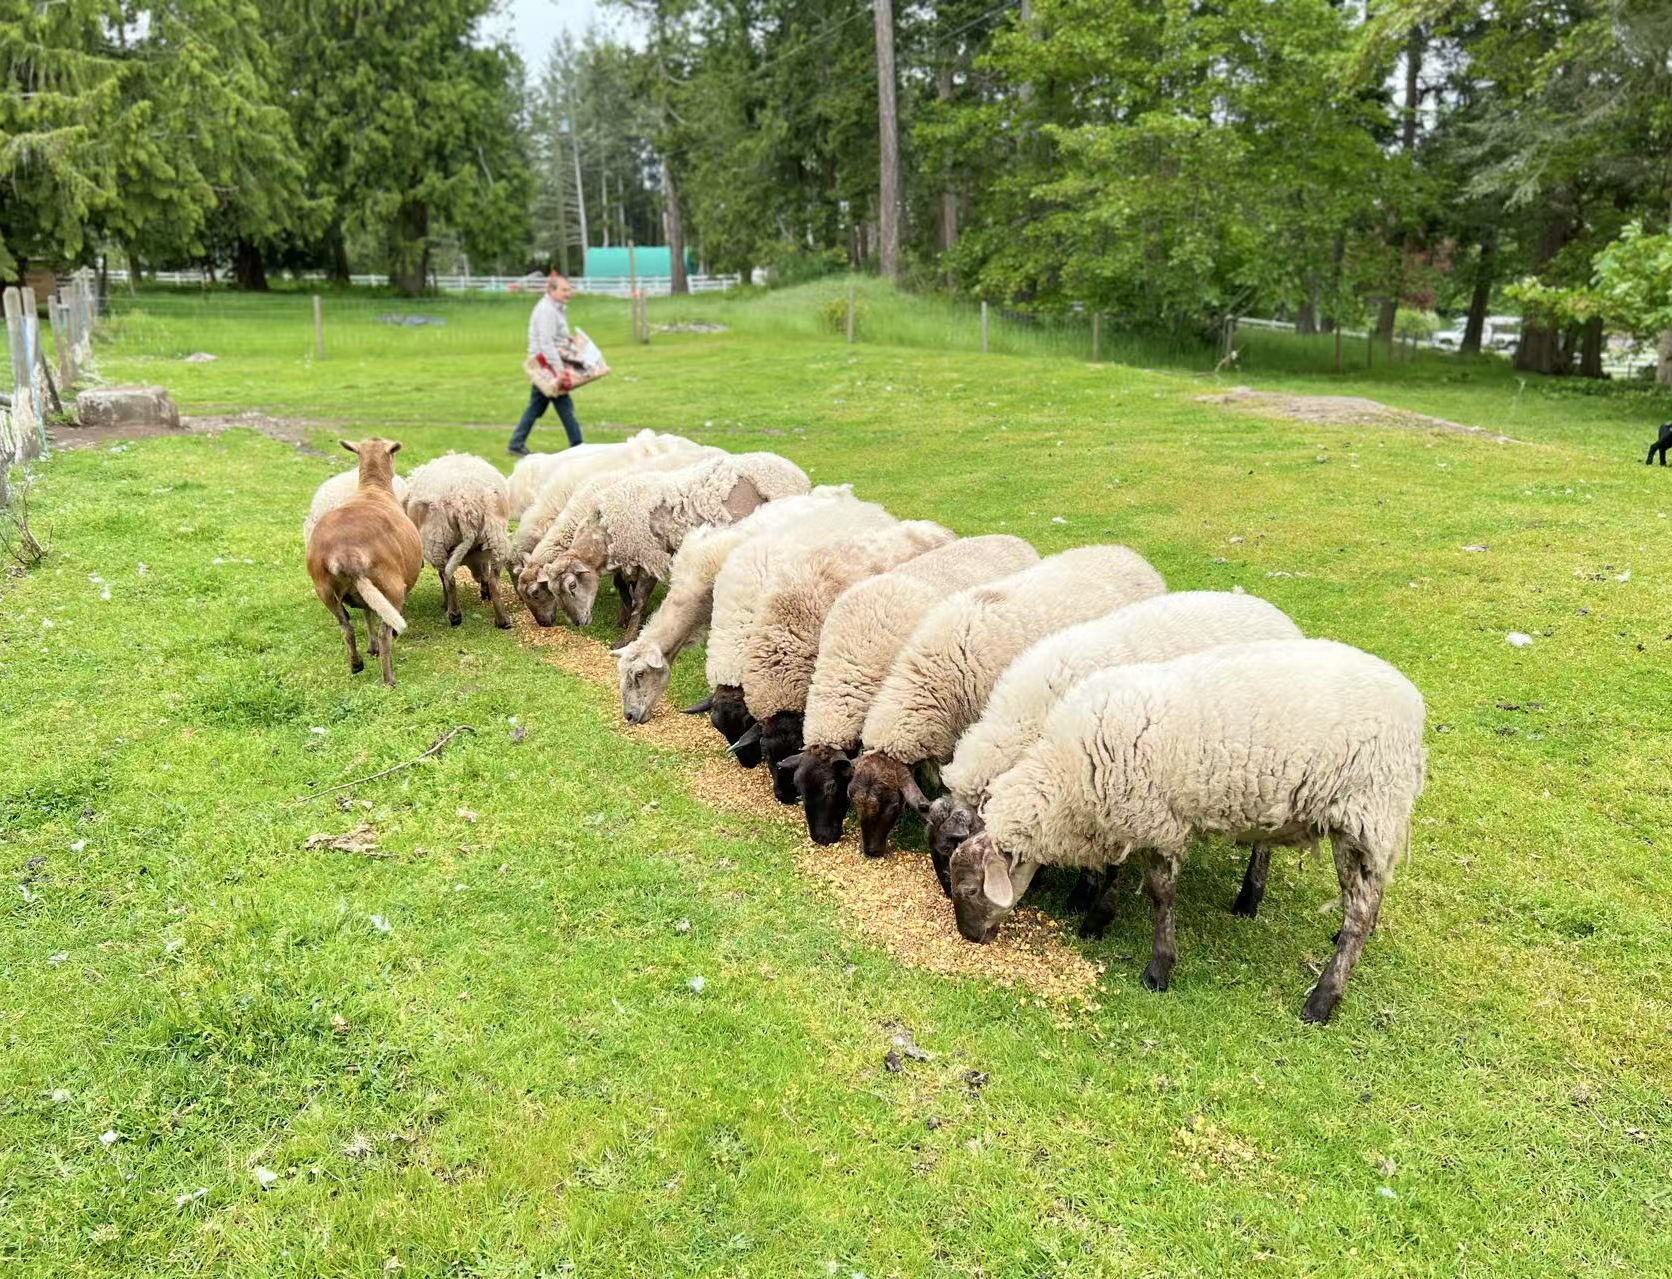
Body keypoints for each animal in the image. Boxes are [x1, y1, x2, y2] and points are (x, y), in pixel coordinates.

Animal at [305, 438, 424, 686]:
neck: (373, 488)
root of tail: (346, 553)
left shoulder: (364, 593)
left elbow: (368, 614)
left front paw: (371, 648)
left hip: (325, 590)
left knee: (346, 628)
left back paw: (356, 664)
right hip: (391, 586)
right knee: (385, 633)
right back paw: (388, 679)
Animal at [401, 453, 515, 629]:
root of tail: (466, 505)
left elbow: (443, 577)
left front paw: (445, 604)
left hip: (437, 541)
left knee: (449, 580)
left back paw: (454, 615)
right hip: (495, 535)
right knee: (494, 581)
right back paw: (502, 621)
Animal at [539, 451, 812, 641]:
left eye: (572, 585)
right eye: (551, 591)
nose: (577, 622)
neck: (604, 531)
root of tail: (798, 474)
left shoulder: (650, 555)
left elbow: (639, 601)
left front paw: (626, 638)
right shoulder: (631, 558)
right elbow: (622, 587)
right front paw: (622, 620)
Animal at [928, 590, 1303, 905]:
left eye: (949, 851)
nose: (946, 895)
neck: (1026, 719)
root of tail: (1279, 616)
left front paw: (1081, 898)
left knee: (1264, 846)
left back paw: (1248, 900)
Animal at [947, 638, 1425, 1024]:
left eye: (968, 889)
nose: (968, 937)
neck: (1067, 773)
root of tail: (1412, 700)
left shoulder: (1159, 821)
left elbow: (1161, 894)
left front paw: (1159, 967)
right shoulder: (1119, 816)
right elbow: (1112, 868)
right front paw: (1097, 917)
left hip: (1366, 811)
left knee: (1360, 911)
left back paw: (1324, 998)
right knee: (1369, 899)